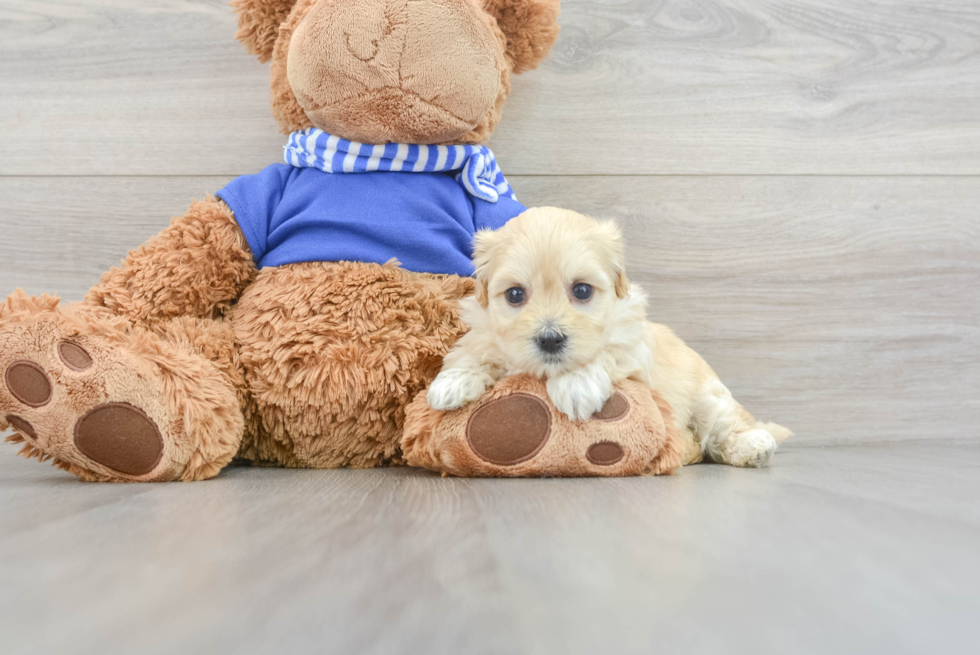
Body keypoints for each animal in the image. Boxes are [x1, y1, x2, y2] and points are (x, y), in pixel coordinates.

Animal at [424, 208, 792, 468]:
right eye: (515, 294)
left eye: (582, 290)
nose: (550, 339)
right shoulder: (486, 329)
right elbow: (475, 349)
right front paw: (452, 383)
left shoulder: (634, 348)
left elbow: (606, 352)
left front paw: (575, 384)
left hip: (709, 399)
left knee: (724, 427)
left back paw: (753, 446)